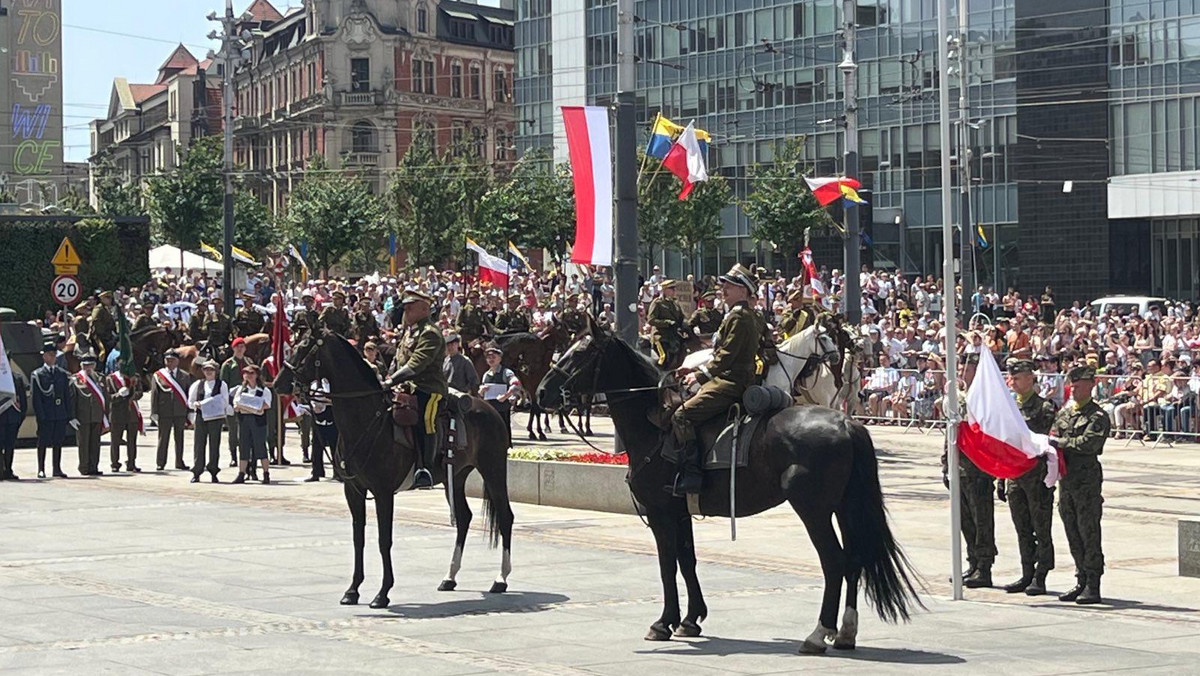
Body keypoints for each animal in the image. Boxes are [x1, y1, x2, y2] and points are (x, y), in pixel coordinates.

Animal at [274, 331, 518, 609]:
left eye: (304, 347)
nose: (278, 383)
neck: (366, 419)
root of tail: (489, 408)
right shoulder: (353, 490)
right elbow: (358, 538)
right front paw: (353, 590)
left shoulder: (383, 492)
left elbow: (384, 540)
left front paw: (382, 593)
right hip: (454, 477)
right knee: (464, 518)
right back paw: (449, 577)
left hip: (493, 469)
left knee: (506, 517)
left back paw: (500, 579)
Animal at [540, 321, 921, 657]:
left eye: (582, 352)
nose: (542, 391)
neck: (655, 424)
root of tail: (846, 422)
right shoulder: (681, 512)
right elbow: (687, 561)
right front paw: (691, 619)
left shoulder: (662, 514)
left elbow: (667, 566)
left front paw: (663, 623)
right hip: (844, 507)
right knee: (854, 560)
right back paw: (845, 633)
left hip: (813, 510)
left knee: (835, 562)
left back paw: (817, 634)